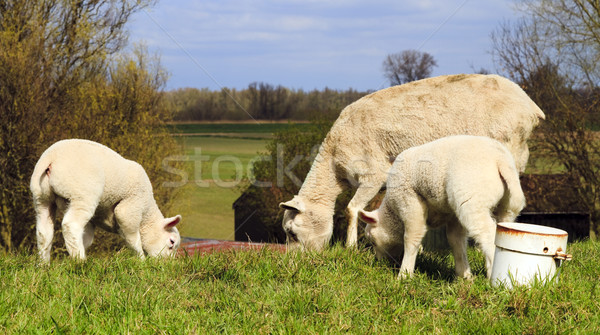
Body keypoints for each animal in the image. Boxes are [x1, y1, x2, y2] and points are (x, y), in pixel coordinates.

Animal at [30, 138, 180, 262]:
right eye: (171, 242)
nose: (168, 264)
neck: (147, 212)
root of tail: (51, 157)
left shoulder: (93, 221)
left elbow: (87, 238)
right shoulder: (130, 209)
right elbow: (134, 239)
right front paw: (141, 260)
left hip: (42, 198)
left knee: (44, 232)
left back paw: (44, 265)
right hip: (83, 194)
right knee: (71, 225)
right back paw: (80, 262)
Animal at [278, 74, 548, 252]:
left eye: (292, 232)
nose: (296, 263)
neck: (334, 164)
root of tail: (530, 106)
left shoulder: (373, 174)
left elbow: (351, 210)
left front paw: (350, 247)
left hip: (508, 149)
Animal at [356, 135, 524, 280]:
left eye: (372, 241)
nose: (379, 262)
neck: (393, 210)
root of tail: (499, 159)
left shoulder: (409, 200)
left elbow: (412, 237)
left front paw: (404, 275)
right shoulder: (452, 213)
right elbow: (456, 240)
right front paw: (464, 276)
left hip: (472, 199)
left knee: (487, 233)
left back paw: (492, 274)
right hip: (506, 205)